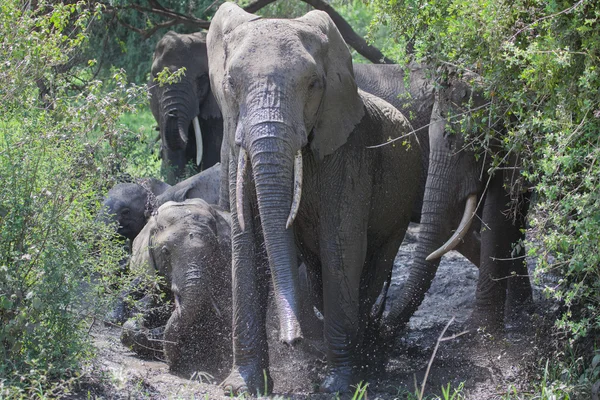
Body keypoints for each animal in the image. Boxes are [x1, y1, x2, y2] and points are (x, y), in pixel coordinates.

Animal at [209, 3, 424, 396]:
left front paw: (339, 386)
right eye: (230, 84)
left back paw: (368, 358)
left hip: (402, 206)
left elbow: (340, 244)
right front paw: (240, 387)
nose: (291, 341)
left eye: (313, 85)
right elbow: (248, 243)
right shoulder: (232, 149)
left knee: (374, 267)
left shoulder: (350, 151)